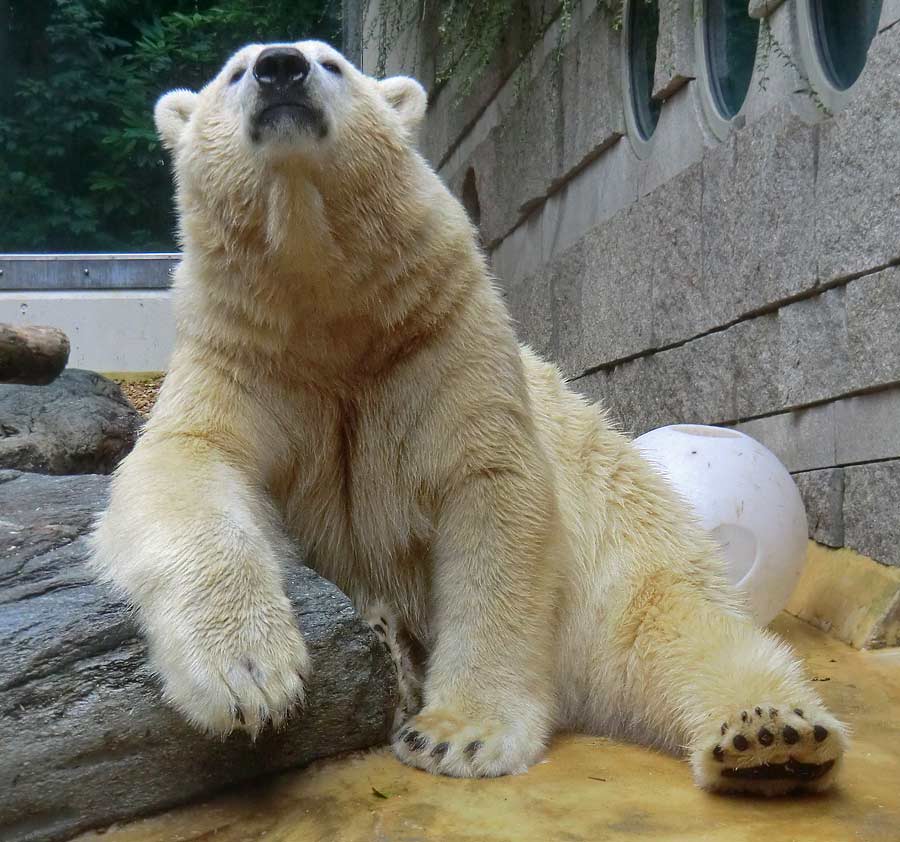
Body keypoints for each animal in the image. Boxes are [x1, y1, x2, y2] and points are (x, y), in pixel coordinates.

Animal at [95, 39, 848, 796]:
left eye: (332, 62)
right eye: (232, 72)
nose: (281, 68)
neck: (326, 305)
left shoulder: (442, 344)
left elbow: (493, 497)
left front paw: (457, 735)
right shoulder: (244, 355)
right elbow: (190, 460)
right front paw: (246, 679)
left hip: (627, 545)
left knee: (675, 626)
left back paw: (768, 733)